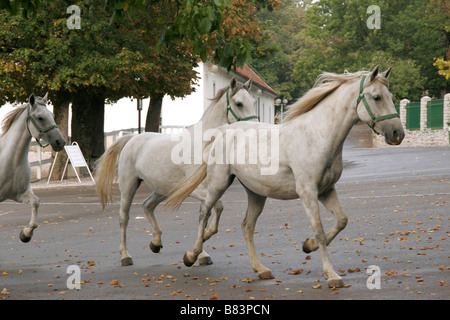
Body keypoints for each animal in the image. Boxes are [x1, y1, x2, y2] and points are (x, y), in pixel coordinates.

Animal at [0, 92, 66, 242]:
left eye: (52, 116)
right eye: (40, 117)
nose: (60, 142)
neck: (11, 162)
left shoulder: (19, 193)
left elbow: (36, 202)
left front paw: (25, 234)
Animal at [95, 77, 256, 264]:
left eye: (253, 101)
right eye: (239, 103)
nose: (253, 129)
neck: (204, 143)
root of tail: (132, 139)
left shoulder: (207, 189)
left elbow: (208, 213)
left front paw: (201, 252)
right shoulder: (195, 189)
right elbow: (217, 207)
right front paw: (203, 243)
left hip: (162, 189)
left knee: (147, 206)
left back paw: (155, 243)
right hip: (129, 186)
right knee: (124, 217)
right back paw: (125, 256)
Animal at [165, 66, 404, 288]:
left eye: (390, 95)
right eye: (377, 97)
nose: (397, 134)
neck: (316, 136)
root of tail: (223, 130)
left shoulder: (326, 190)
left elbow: (341, 221)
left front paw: (308, 246)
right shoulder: (308, 192)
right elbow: (319, 230)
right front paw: (332, 275)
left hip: (256, 193)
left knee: (246, 226)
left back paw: (260, 269)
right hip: (219, 183)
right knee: (204, 212)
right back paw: (192, 255)